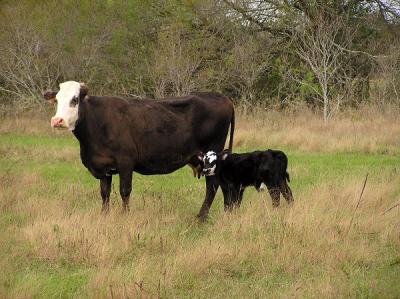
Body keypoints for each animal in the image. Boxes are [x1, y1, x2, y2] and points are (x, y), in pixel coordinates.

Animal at [43, 81, 234, 219]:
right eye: (57, 100)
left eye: (74, 100)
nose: (57, 120)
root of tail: (221, 97)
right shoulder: (104, 167)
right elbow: (104, 193)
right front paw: (104, 215)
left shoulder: (126, 162)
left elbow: (124, 191)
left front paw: (125, 216)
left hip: (212, 156)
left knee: (212, 186)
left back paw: (201, 216)